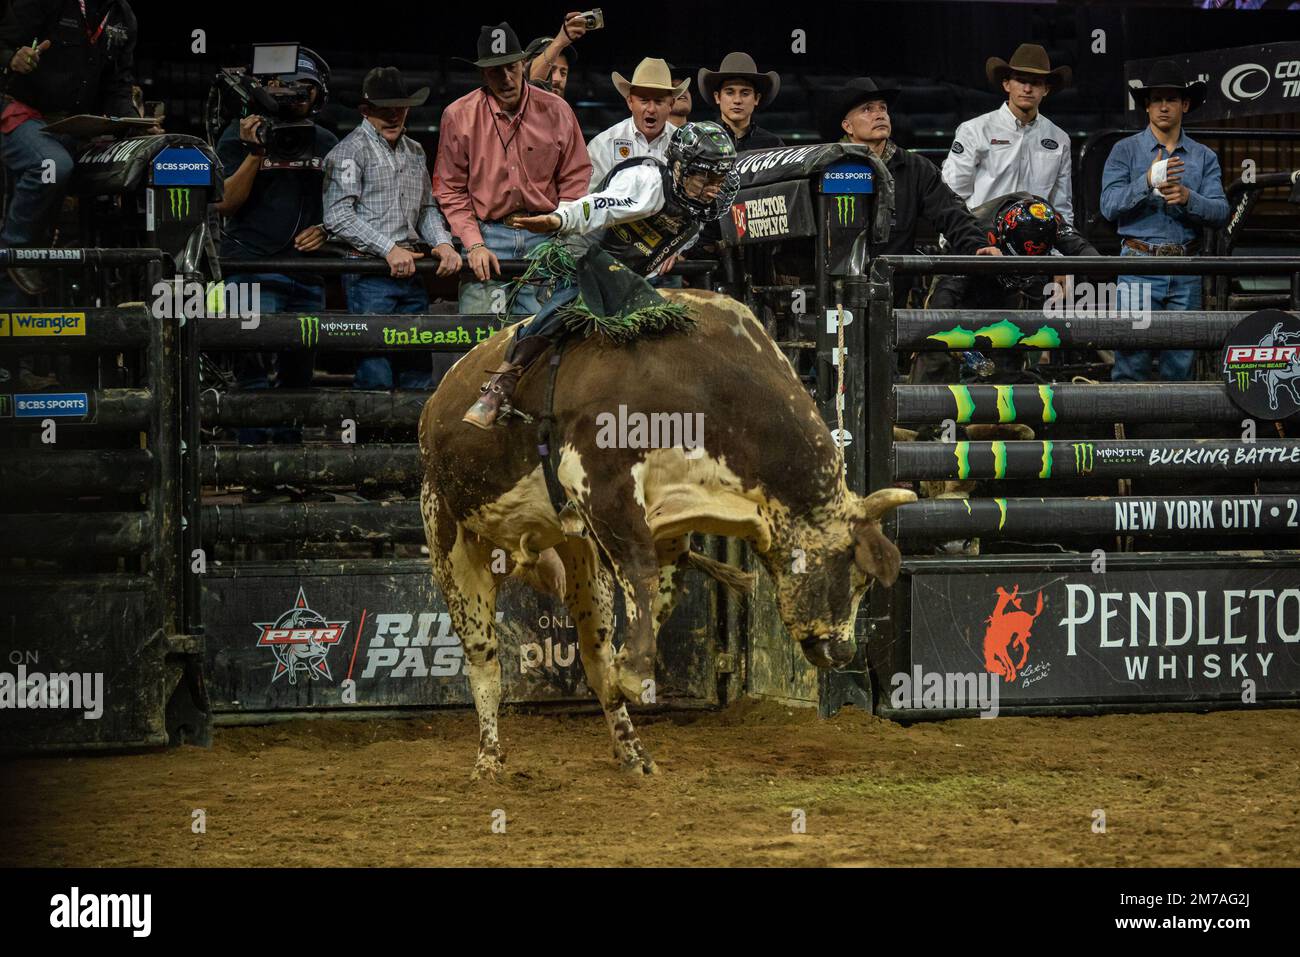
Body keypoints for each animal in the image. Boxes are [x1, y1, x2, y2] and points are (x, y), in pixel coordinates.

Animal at [418, 289, 915, 780]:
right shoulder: (600, 482)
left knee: (594, 655)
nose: (844, 650)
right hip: (447, 533)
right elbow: (641, 570)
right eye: (855, 575)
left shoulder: (673, 519)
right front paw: (635, 675)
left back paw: (633, 753)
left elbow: (661, 590)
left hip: (579, 557)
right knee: (484, 659)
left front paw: (630, 670)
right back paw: (488, 759)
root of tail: (435, 403)